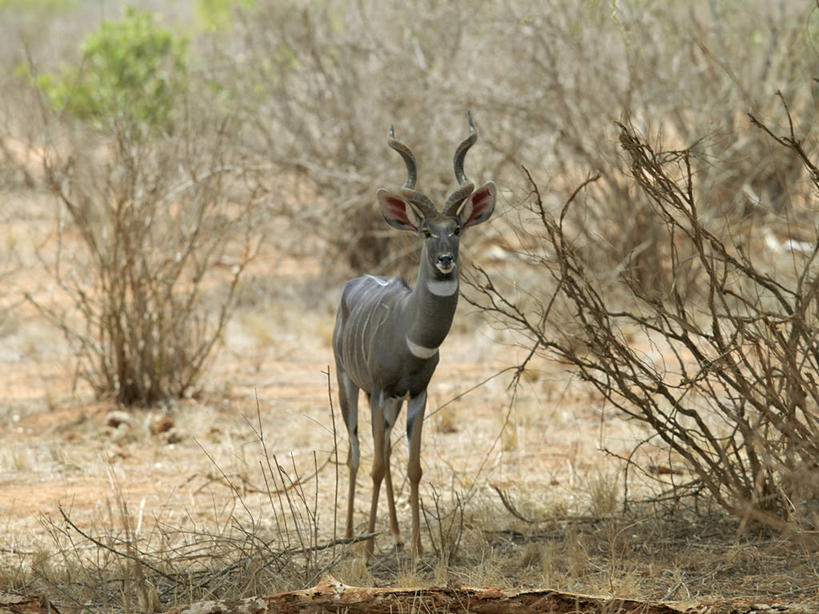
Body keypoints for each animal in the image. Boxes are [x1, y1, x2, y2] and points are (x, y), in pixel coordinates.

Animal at [332, 112, 496, 560]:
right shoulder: (379, 388)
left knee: (385, 450)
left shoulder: (418, 393)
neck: (411, 335)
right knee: (356, 453)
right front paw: (368, 551)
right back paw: (352, 536)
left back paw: (396, 534)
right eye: (425, 232)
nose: (444, 260)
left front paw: (420, 549)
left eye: (456, 228)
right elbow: (375, 465)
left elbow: (413, 466)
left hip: (387, 401)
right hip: (349, 385)